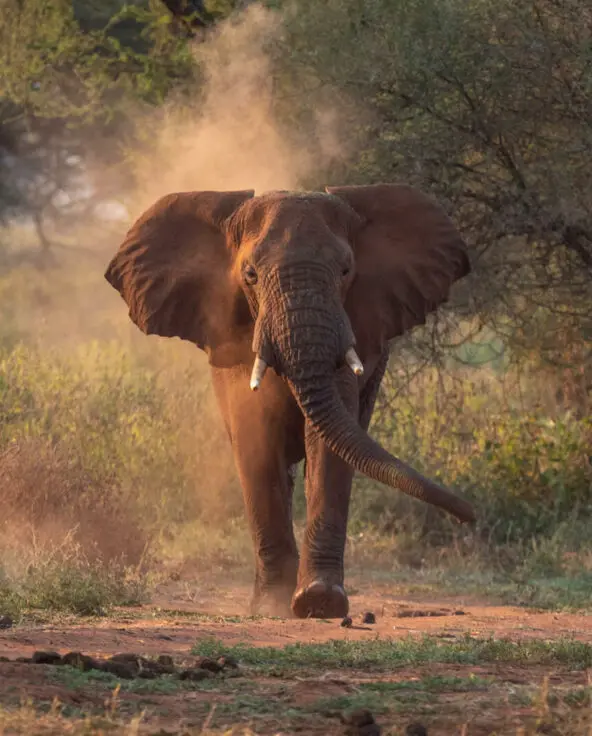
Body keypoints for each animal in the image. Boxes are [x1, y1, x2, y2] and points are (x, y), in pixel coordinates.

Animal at [105, 183, 475, 619]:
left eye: (346, 271)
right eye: (250, 275)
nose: (470, 516)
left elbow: (329, 448)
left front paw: (320, 600)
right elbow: (256, 439)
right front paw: (272, 605)